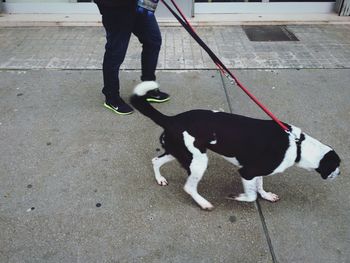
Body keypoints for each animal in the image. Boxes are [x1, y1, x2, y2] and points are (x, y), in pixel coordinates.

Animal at [130, 81, 340, 211]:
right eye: (337, 166)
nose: (339, 174)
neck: (298, 146)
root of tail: (172, 119)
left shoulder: (257, 171)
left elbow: (259, 186)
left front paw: (266, 195)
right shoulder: (247, 172)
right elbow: (251, 195)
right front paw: (237, 197)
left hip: (180, 153)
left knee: (155, 160)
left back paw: (160, 179)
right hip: (198, 161)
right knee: (189, 187)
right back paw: (204, 203)